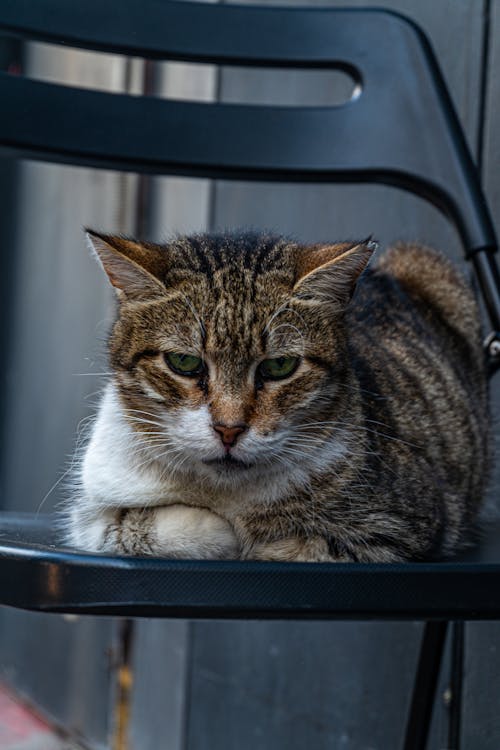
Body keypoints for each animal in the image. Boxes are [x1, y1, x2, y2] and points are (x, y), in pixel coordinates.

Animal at [64, 232, 490, 560]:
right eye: (184, 362)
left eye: (279, 367)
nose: (229, 429)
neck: (222, 493)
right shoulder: (91, 515)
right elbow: (131, 526)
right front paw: (221, 532)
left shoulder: (403, 528)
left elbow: (298, 547)